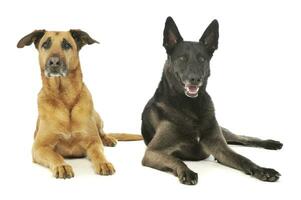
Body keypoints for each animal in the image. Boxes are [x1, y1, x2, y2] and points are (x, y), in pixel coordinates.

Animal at [17, 30, 141, 179]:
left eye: (67, 45)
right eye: (45, 44)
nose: (54, 62)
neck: (65, 98)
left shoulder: (93, 142)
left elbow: (98, 152)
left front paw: (103, 163)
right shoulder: (39, 147)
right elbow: (55, 155)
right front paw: (62, 166)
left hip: (97, 116)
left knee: (102, 133)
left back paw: (108, 139)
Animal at [141, 16, 282, 185]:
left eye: (202, 59)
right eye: (182, 58)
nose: (195, 79)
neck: (190, 106)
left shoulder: (219, 146)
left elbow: (243, 159)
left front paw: (262, 170)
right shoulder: (152, 152)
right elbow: (176, 160)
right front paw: (186, 171)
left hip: (224, 133)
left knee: (243, 138)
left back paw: (269, 143)